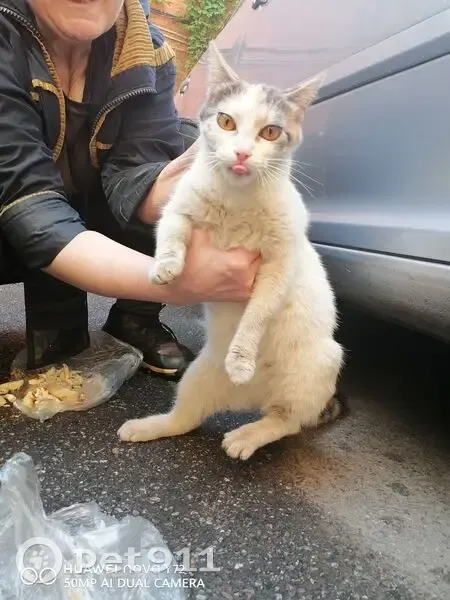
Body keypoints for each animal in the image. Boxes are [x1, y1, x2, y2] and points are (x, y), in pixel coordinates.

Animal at [118, 43, 345, 460]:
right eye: (226, 122)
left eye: (271, 132)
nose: (241, 153)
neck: (236, 201)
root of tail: (250, 400)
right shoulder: (178, 207)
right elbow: (171, 232)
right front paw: (165, 266)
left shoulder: (279, 264)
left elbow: (256, 315)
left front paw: (241, 359)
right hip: (198, 375)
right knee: (185, 420)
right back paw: (148, 426)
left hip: (318, 366)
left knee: (286, 420)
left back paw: (248, 434)